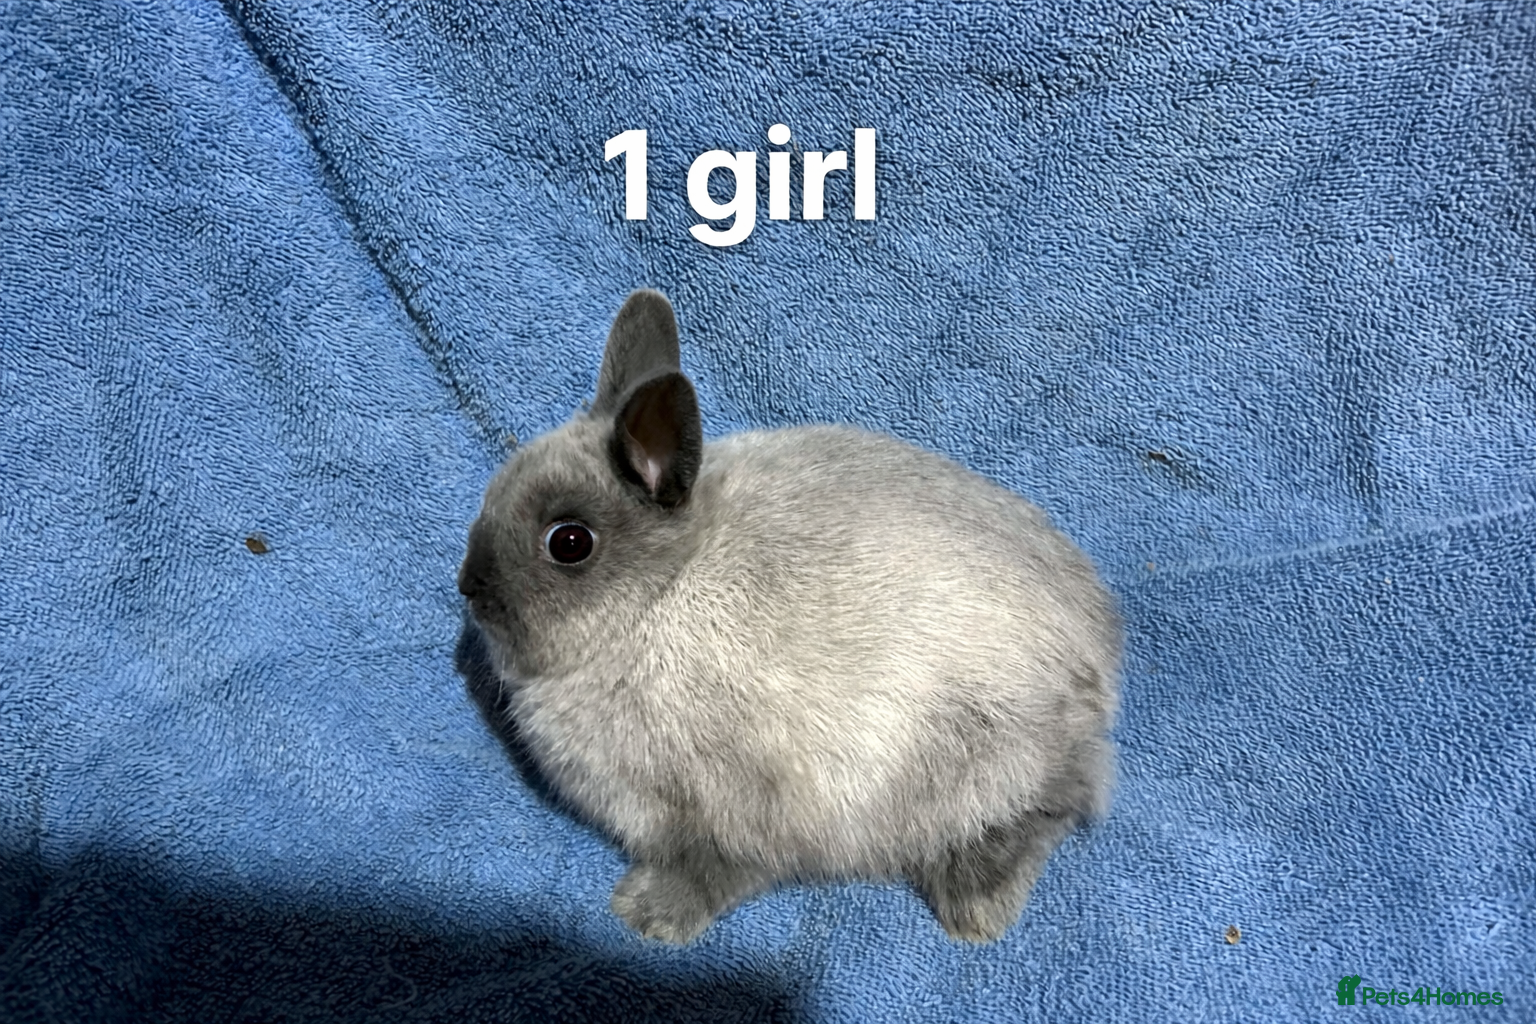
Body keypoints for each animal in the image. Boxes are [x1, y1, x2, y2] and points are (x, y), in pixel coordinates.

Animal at [458, 289, 1121, 944]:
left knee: (1057, 802)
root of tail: (1099, 666)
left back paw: (975, 906)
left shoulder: (739, 800)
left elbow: (721, 865)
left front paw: (646, 914)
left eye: (569, 542)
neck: (660, 595)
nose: (469, 588)